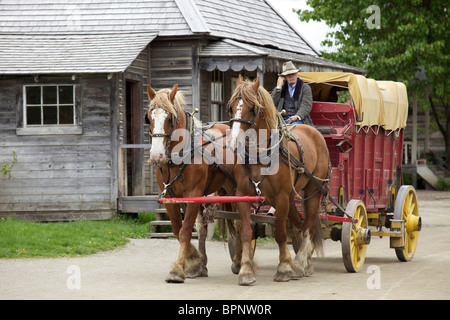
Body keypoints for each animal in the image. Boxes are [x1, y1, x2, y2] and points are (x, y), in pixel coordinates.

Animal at [145, 84, 236, 282]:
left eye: (170, 117)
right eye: (148, 117)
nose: (156, 155)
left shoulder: (194, 195)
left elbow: (185, 231)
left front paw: (178, 269)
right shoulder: (170, 199)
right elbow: (177, 230)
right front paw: (194, 261)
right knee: (203, 229)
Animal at [229, 75, 330, 284]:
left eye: (252, 107)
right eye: (231, 107)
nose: (234, 143)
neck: (260, 157)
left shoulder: (281, 197)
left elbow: (281, 233)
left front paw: (284, 268)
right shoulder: (242, 196)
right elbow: (245, 232)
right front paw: (245, 270)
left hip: (313, 191)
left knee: (308, 226)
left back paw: (300, 264)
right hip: (292, 198)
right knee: (299, 225)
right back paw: (304, 261)